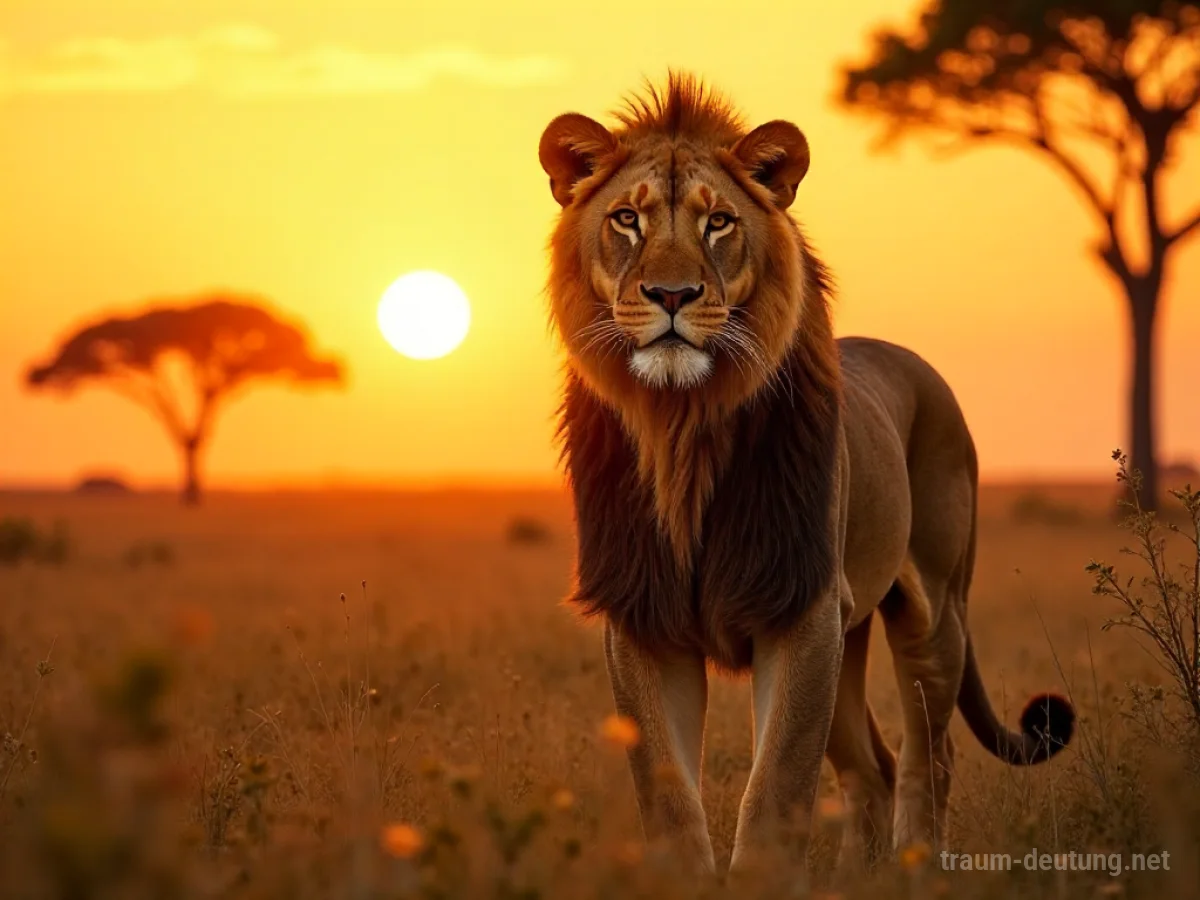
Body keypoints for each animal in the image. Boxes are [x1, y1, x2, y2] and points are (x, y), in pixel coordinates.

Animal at [538, 73, 1074, 873]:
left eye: (719, 223)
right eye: (627, 219)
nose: (672, 296)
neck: (682, 428)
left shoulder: (801, 609)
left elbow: (777, 788)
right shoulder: (644, 619)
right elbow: (668, 797)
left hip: (932, 612)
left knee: (929, 756)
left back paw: (916, 868)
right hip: (850, 641)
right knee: (872, 766)